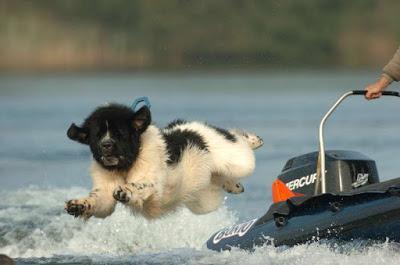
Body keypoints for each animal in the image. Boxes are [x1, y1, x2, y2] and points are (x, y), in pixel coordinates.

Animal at [65, 103, 262, 219]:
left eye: (120, 134)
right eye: (97, 136)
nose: (106, 145)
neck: (127, 164)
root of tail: (195, 127)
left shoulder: (153, 183)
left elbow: (141, 185)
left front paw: (126, 191)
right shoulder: (105, 190)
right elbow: (100, 201)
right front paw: (79, 205)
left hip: (236, 158)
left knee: (238, 142)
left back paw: (254, 140)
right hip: (204, 198)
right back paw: (234, 185)